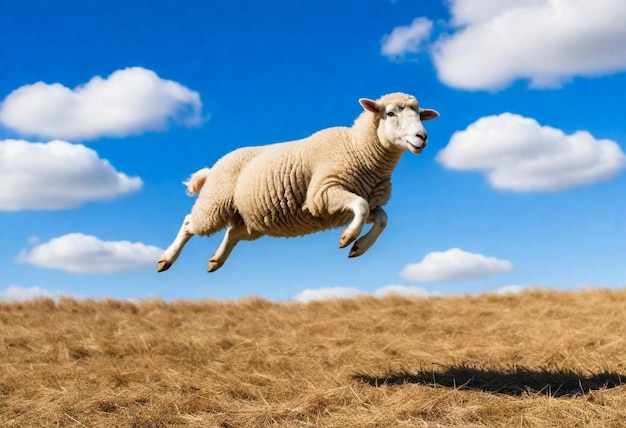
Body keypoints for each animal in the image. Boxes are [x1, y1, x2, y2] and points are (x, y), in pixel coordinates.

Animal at [157, 93, 438, 274]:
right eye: (389, 113)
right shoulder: (323, 193)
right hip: (214, 203)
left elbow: (381, 218)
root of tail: (213, 167)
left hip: (250, 220)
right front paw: (347, 238)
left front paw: (359, 247)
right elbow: (361, 206)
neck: (358, 148)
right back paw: (166, 260)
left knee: (232, 233)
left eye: (420, 115)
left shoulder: (345, 203)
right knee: (189, 223)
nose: (422, 137)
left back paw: (216, 261)